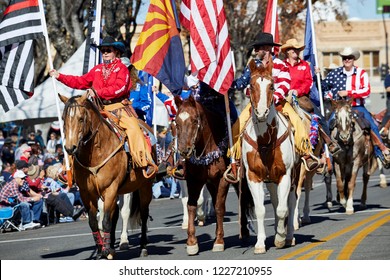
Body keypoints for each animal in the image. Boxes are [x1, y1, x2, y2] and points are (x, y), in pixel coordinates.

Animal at [59, 93, 154, 260]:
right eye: (63, 119)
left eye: (81, 119)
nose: (70, 148)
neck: (97, 153)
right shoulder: (86, 193)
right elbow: (94, 222)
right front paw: (100, 250)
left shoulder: (110, 189)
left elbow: (106, 221)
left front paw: (106, 251)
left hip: (144, 187)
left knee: (143, 213)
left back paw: (142, 247)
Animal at [173, 92, 250, 256]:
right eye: (176, 122)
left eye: (195, 120)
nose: (183, 151)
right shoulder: (194, 180)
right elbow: (191, 205)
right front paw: (192, 242)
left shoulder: (223, 180)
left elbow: (220, 207)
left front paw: (219, 241)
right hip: (210, 184)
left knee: (241, 199)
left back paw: (244, 232)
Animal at [241, 59, 298, 254]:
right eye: (251, 85)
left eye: (272, 85)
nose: (261, 112)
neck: (265, 140)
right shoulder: (253, 177)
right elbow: (261, 209)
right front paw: (260, 243)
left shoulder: (285, 175)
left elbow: (282, 209)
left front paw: (280, 238)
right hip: (271, 180)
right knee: (274, 201)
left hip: (294, 176)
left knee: (290, 202)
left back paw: (288, 236)